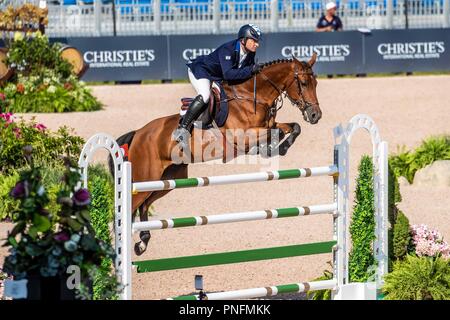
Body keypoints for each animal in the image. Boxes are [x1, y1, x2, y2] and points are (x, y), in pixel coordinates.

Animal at [108, 54, 320, 255]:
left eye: (316, 83)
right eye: (303, 83)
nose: (316, 115)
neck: (252, 97)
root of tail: (139, 133)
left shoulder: (268, 125)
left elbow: (292, 127)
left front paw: (277, 148)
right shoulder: (243, 136)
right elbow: (275, 132)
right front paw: (270, 148)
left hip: (168, 179)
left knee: (144, 205)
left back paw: (143, 242)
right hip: (146, 178)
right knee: (130, 208)